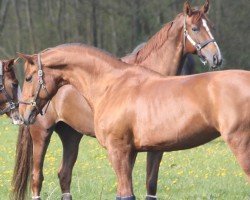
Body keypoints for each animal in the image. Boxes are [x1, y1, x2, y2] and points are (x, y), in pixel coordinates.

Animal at [13, 0, 222, 199]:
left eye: (211, 25)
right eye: (195, 28)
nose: (216, 58)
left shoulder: (154, 148)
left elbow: (150, 185)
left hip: (71, 135)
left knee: (64, 175)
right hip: (42, 134)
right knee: (37, 178)